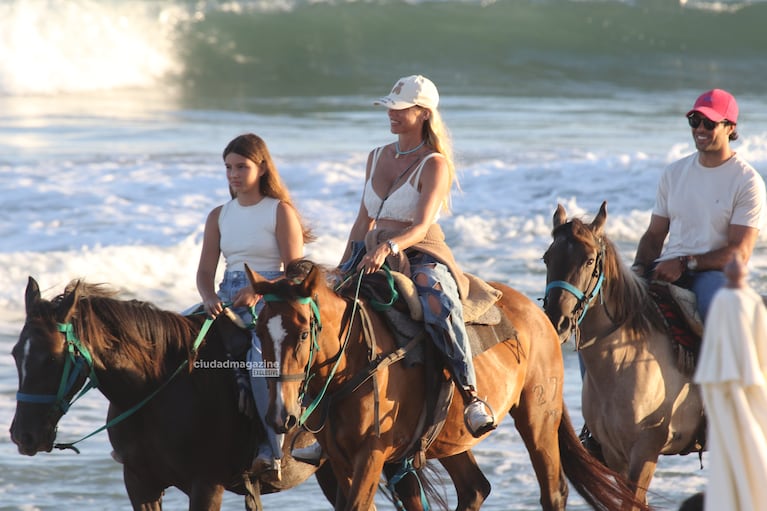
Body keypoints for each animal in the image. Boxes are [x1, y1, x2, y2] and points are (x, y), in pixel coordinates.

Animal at [8, 278, 332, 511]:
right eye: (14, 353)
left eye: (52, 358)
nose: (23, 435)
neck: (154, 391)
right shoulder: (140, 483)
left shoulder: (206, 485)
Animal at [244, 262, 648, 510]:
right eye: (258, 332)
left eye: (301, 334)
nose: (281, 416)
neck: (357, 362)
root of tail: (540, 316)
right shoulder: (344, 459)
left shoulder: (371, 455)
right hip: (450, 435)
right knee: (475, 488)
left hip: (538, 418)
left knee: (553, 490)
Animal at [544, 203, 704, 508]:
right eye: (547, 259)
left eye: (589, 260)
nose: (557, 321)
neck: (626, 360)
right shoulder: (614, 454)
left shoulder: (645, 452)